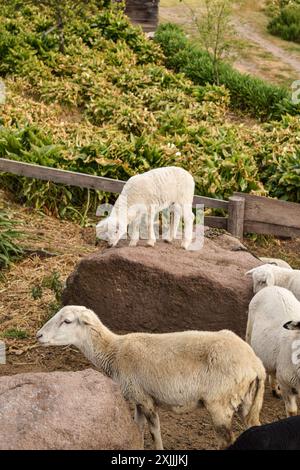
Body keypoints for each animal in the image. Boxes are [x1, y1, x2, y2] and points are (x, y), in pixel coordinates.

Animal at [37, 306, 264, 450]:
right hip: (247, 401)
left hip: (220, 403)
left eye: (67, 321)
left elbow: (154, 431)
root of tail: (255, 363)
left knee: (226, 440)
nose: (38, 335)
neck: (114, 352)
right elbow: (138, 428)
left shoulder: (145, 398)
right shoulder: (137, 398)